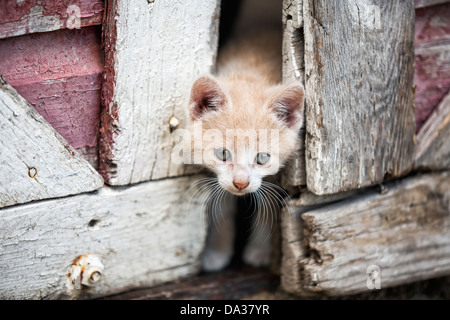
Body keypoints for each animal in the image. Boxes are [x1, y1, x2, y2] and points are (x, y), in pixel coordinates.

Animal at [186, 30, 306, 272]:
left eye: (262, 157)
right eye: (223, 154)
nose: (240, 183)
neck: (250, 71)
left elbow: (268, 206)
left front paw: (261, 250)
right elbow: (222, 207)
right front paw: (217, 252)